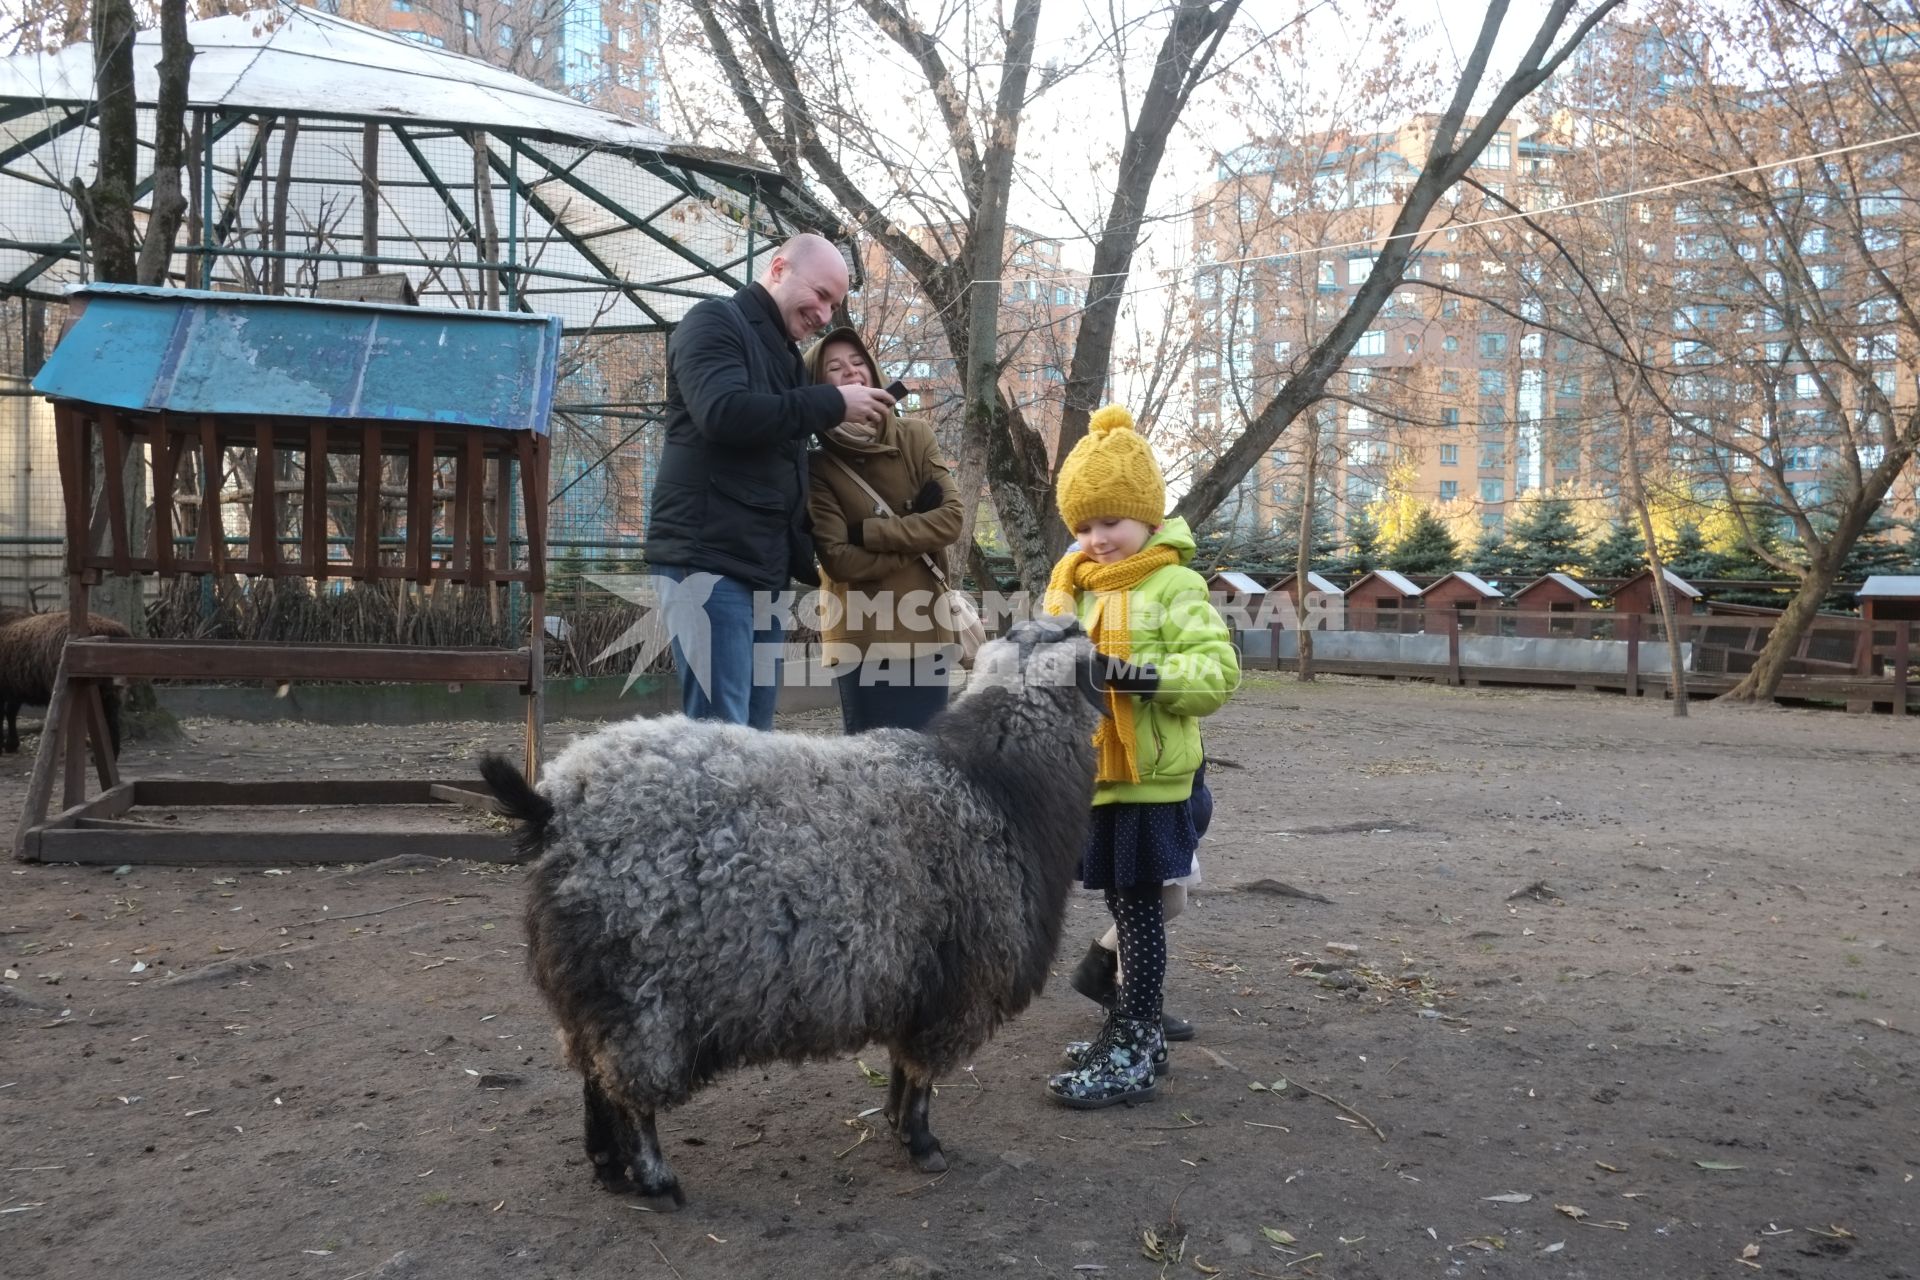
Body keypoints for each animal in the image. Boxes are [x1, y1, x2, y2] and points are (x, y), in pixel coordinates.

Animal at [480, 614, 1113, 1205]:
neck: (994, 784)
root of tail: (556, 806)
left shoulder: (913, 981)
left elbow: (901, 1068)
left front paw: (893, 1124)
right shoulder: (959, 987)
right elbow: (922, 1076)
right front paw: (922, 1143)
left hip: (591, 992)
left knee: (592, 1073)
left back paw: (608, 1167)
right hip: (643, 995)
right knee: (630, 1089)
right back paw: (656, 1179)